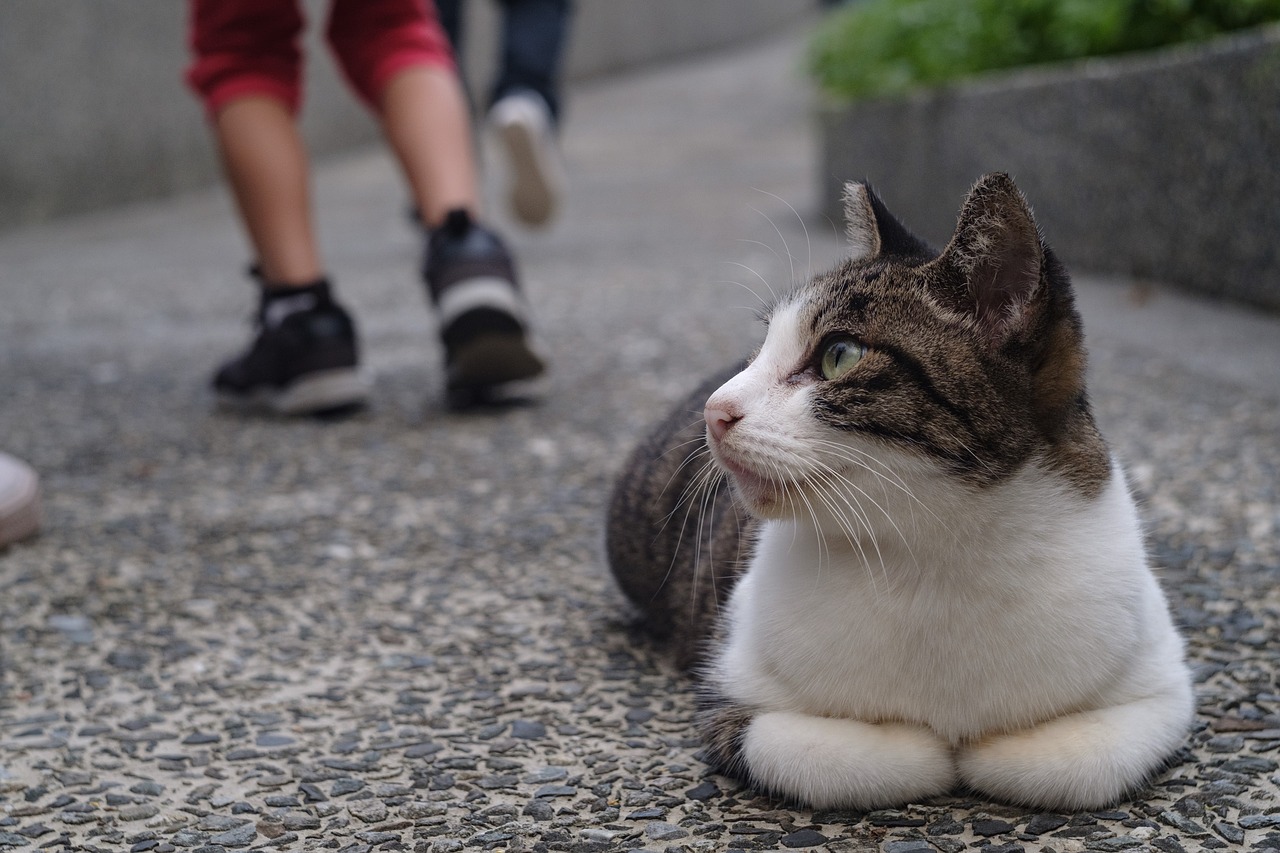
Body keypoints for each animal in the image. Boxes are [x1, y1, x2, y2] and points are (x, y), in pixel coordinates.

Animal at [604, 171, 1192, 804]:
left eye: (839, 355)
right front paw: (931, 747)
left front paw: (987, 747)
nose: (716, 410)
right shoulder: (732, 688)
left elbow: (1078, 762)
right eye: (762, 348)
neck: (935, 553)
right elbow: (848, 756)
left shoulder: (1163, 681)